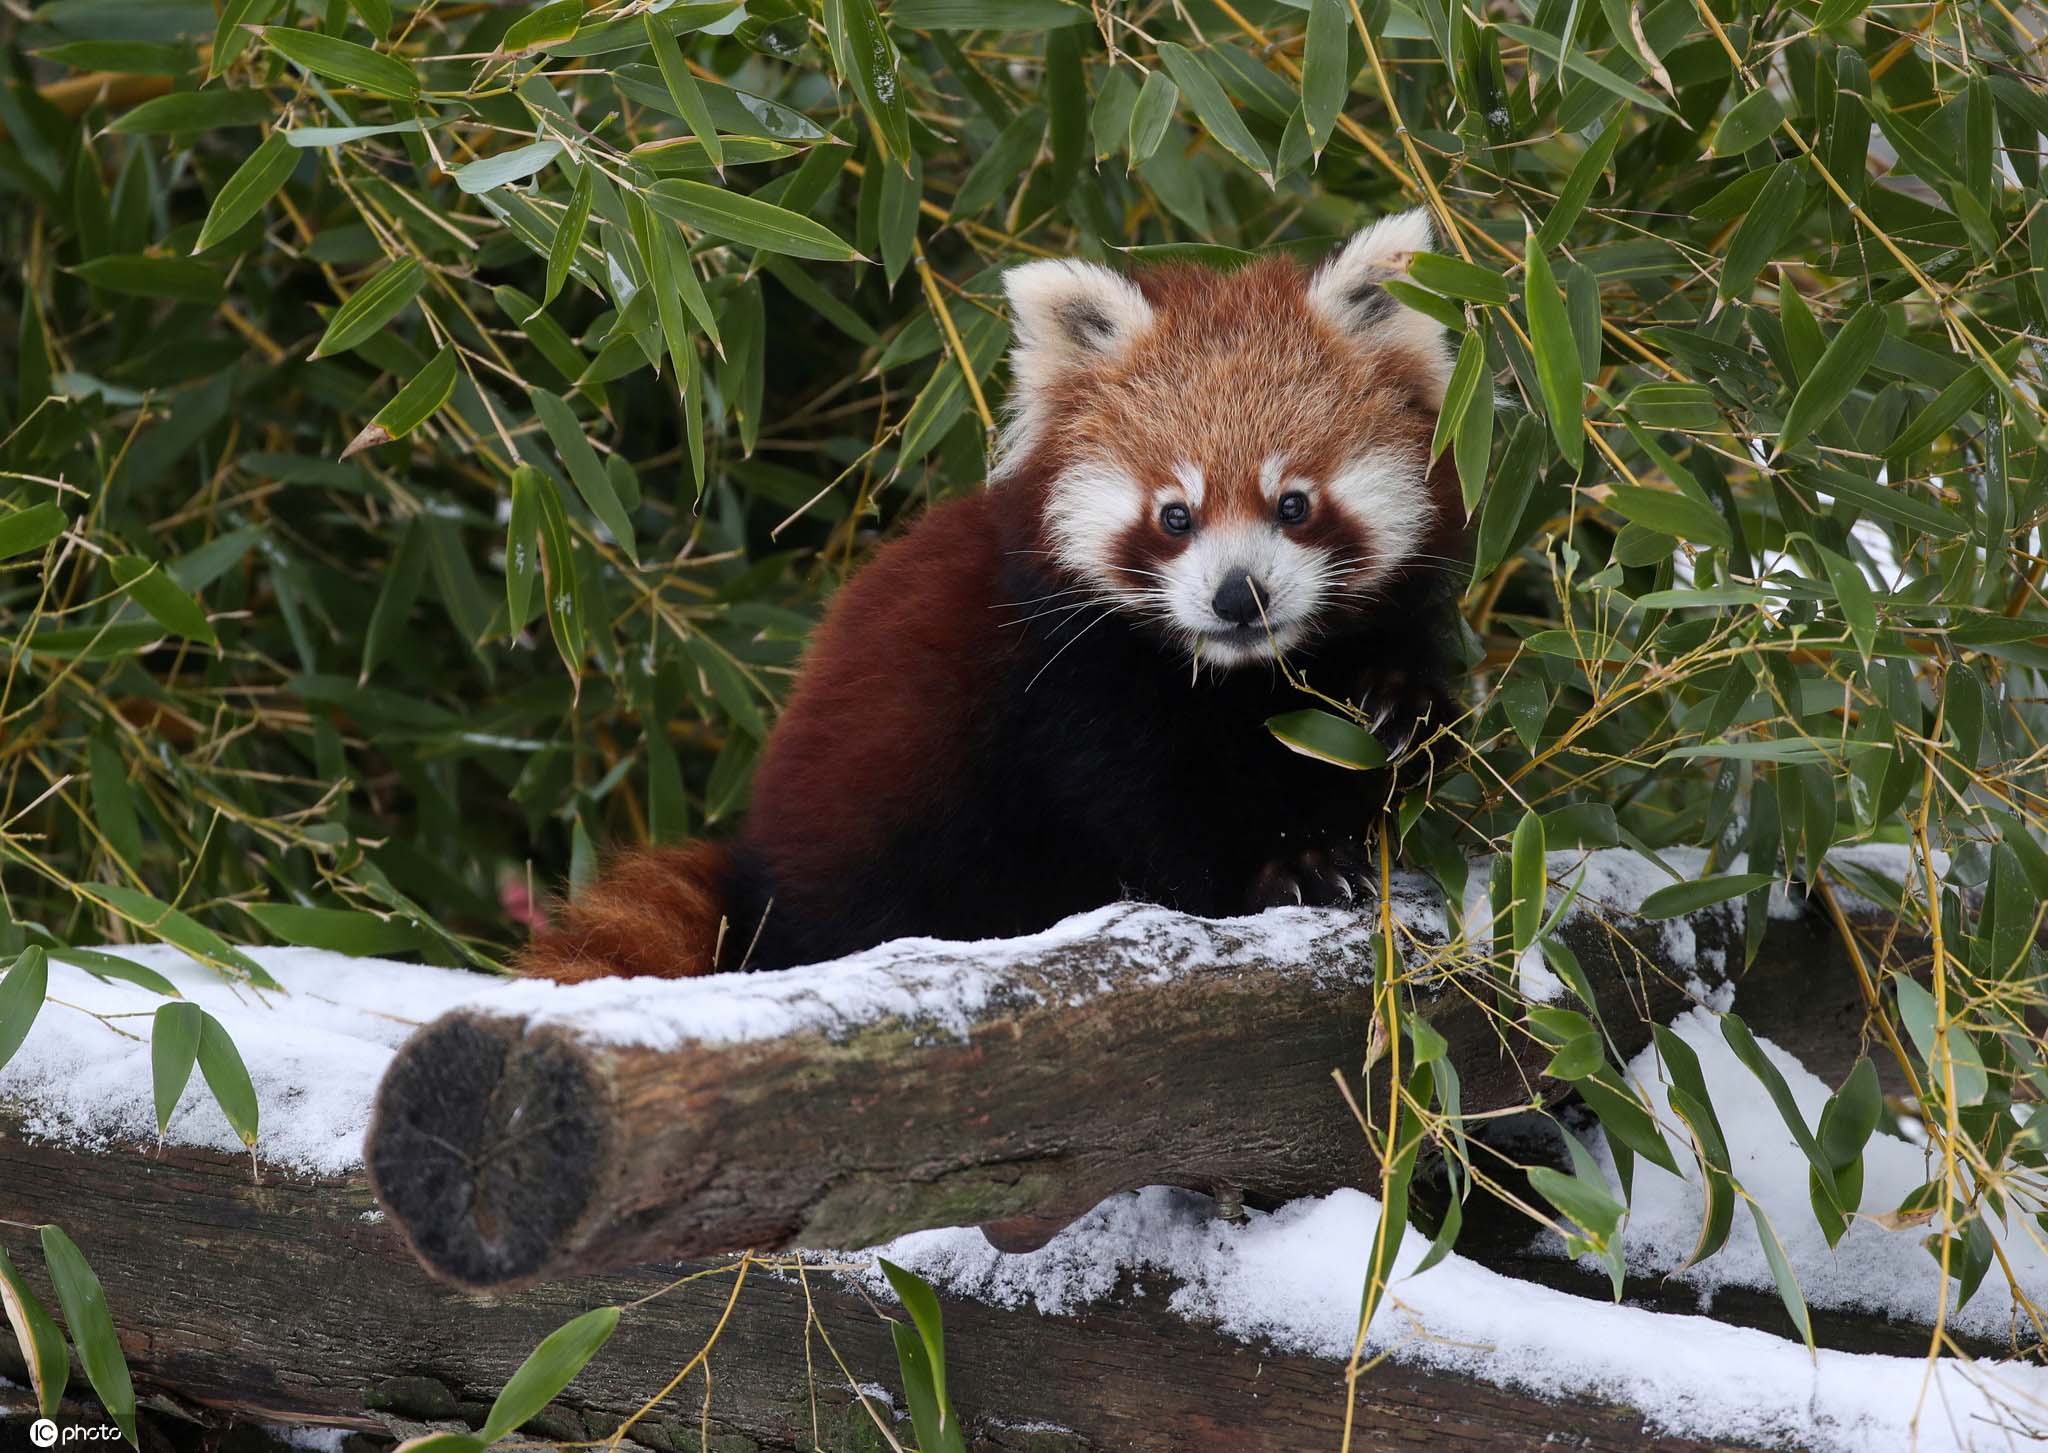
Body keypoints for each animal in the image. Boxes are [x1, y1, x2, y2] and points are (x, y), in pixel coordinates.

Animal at [520, 212, 1466, 987]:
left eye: (1293, 504)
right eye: (1175, 514)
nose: (1239, 596)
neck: (1240, 677)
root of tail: (756, 873)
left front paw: (1396, 707)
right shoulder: (1067, 678)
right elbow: (1145, 810)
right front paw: (1278, 872)